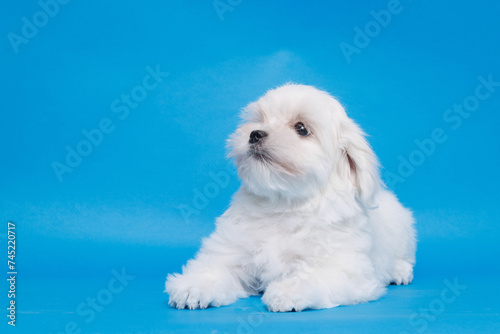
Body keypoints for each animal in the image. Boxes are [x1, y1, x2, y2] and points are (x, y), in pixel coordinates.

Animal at [166, 83, 416, 310]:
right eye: (259, 120)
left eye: (302, 128)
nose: (254, 133)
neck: (283, 204)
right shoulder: (231, 249)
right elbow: (215, 266)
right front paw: (195, 286)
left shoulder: (343, 266)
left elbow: (312, 275)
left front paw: (287, 292)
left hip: (404, 231)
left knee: (404, 256)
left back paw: (399, 271)